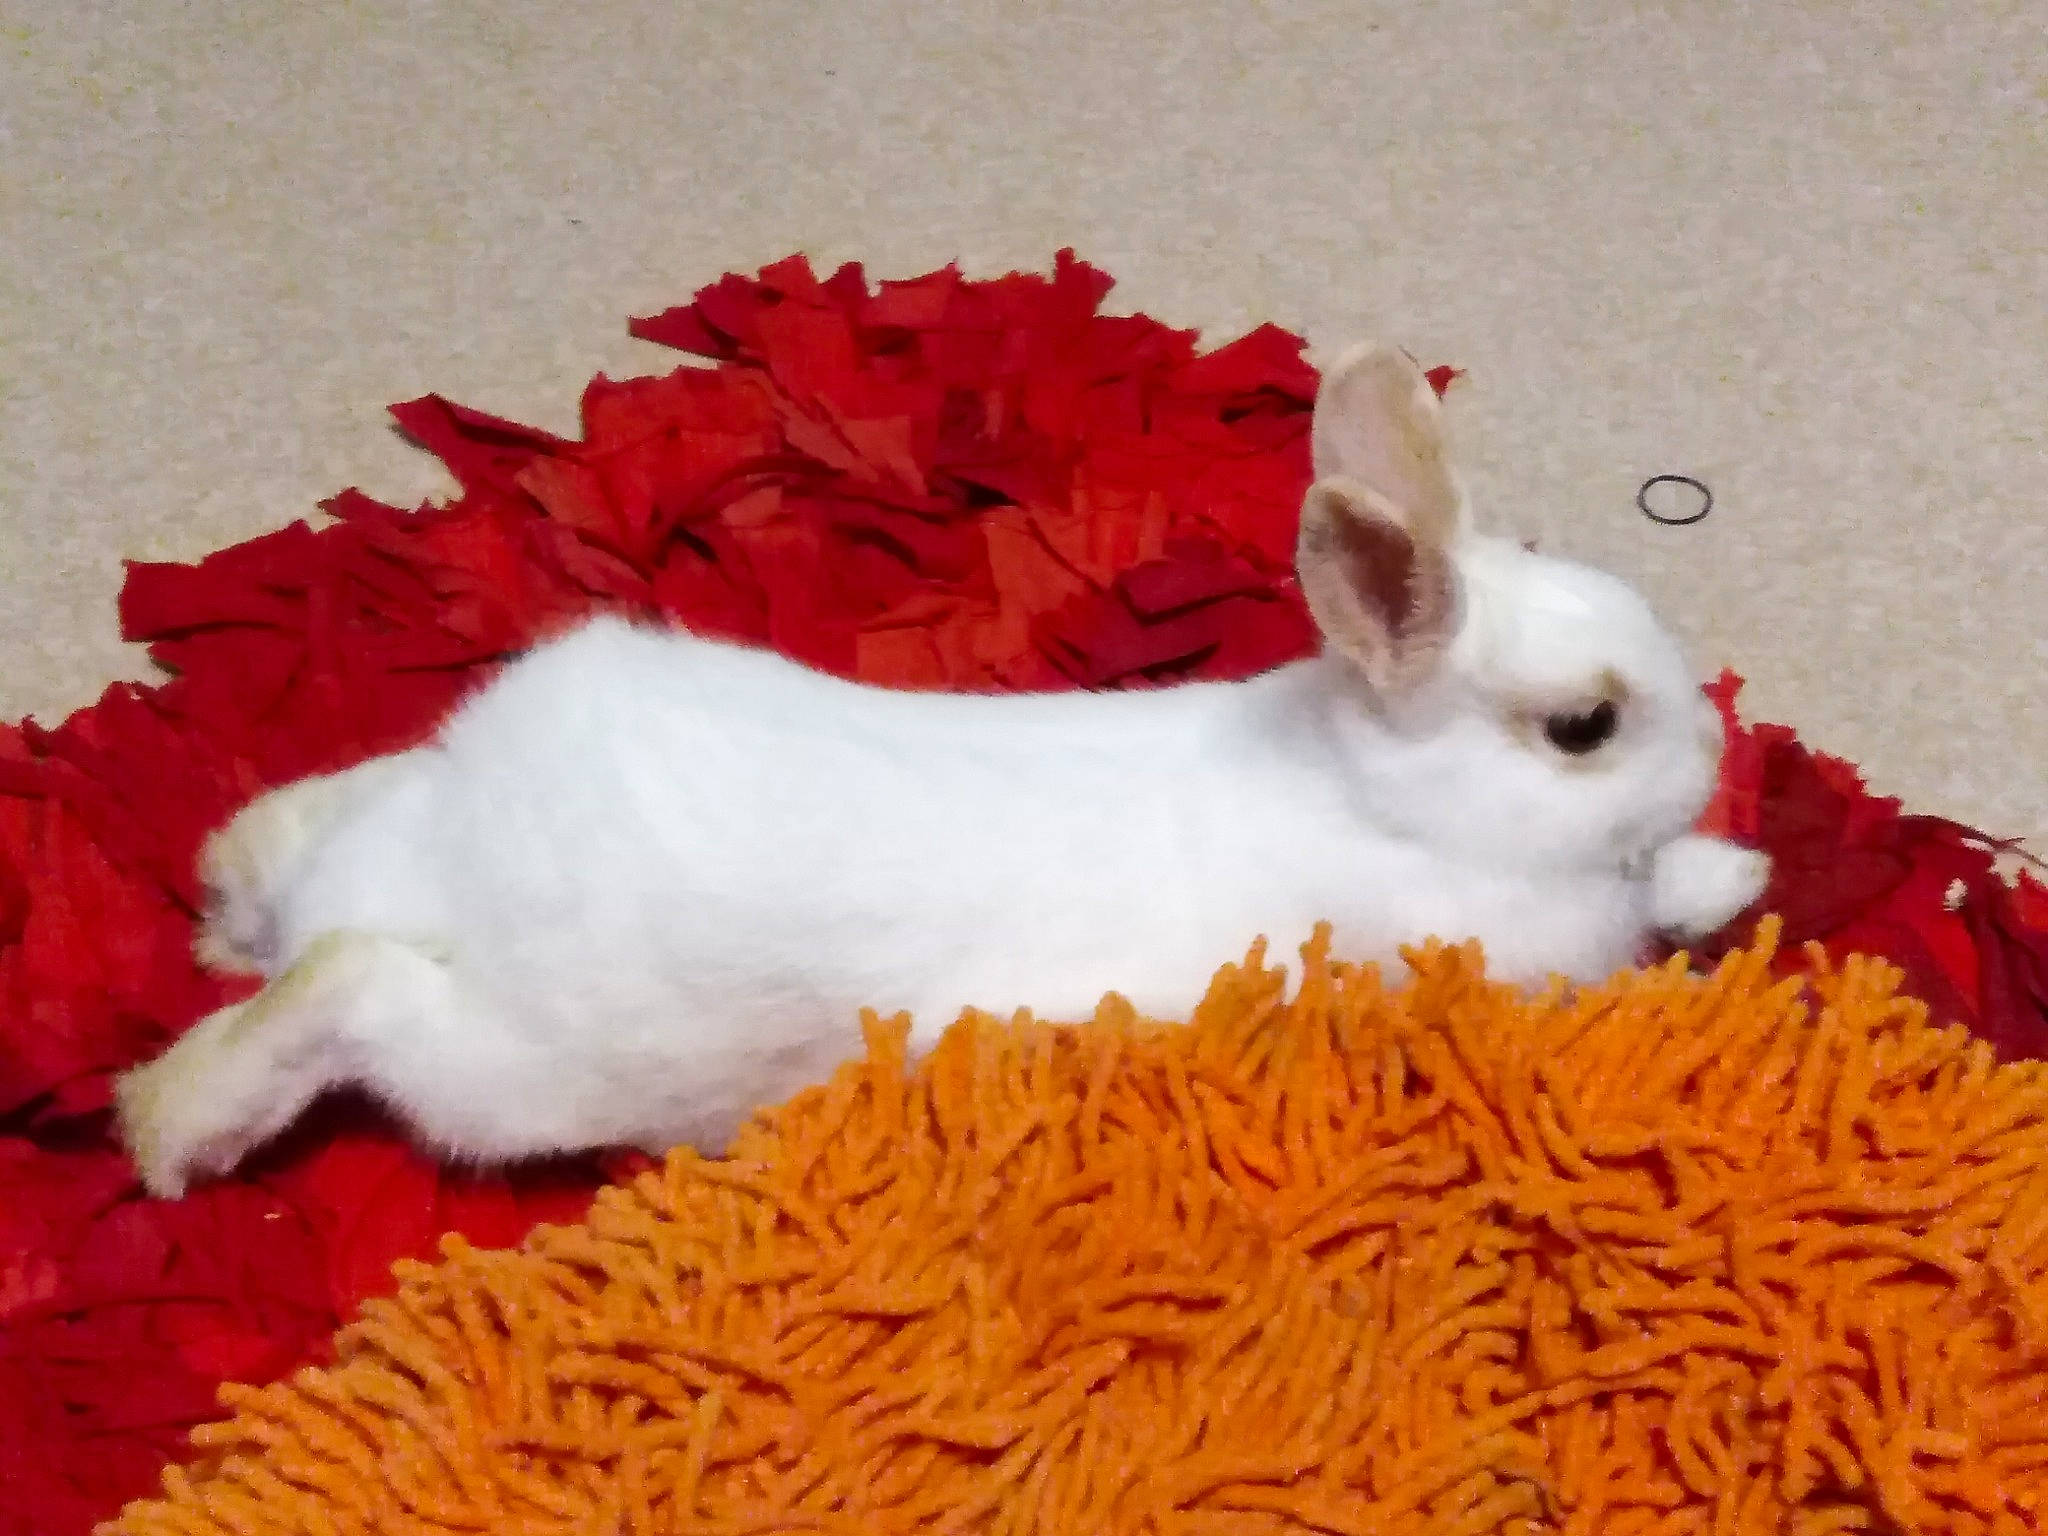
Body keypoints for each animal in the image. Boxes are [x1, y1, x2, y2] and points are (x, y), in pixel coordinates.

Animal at [113, 342, 1769, 1200]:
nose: (1712, 749)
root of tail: (433, 868)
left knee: (289, 852)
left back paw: (221, 919)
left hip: (413, 808)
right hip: (517, 1069)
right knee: (345, 983)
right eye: (1582, 730)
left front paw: (1731, 860)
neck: (1386, 801)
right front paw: (1730, 867)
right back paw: (167, 1128)